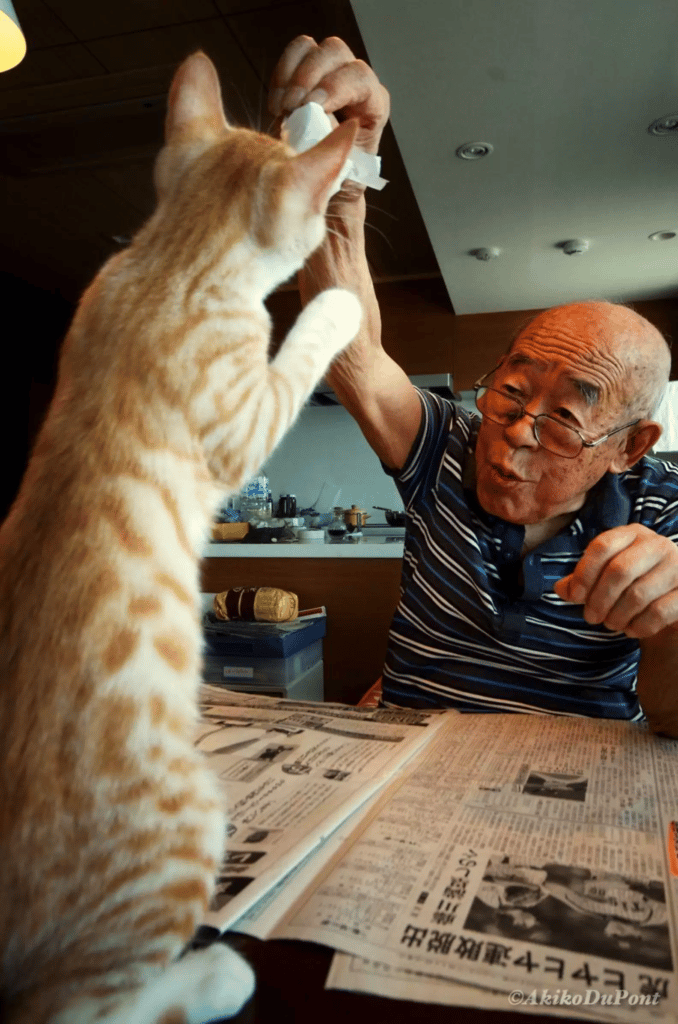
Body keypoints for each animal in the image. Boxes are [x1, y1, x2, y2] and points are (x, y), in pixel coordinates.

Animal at [0, 51, 364, 1024]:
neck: (169, 263)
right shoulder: (246, 422)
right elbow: (296, 345)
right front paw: (340, 304)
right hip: (195, 815)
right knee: (89, 1008)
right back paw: (215, 974)